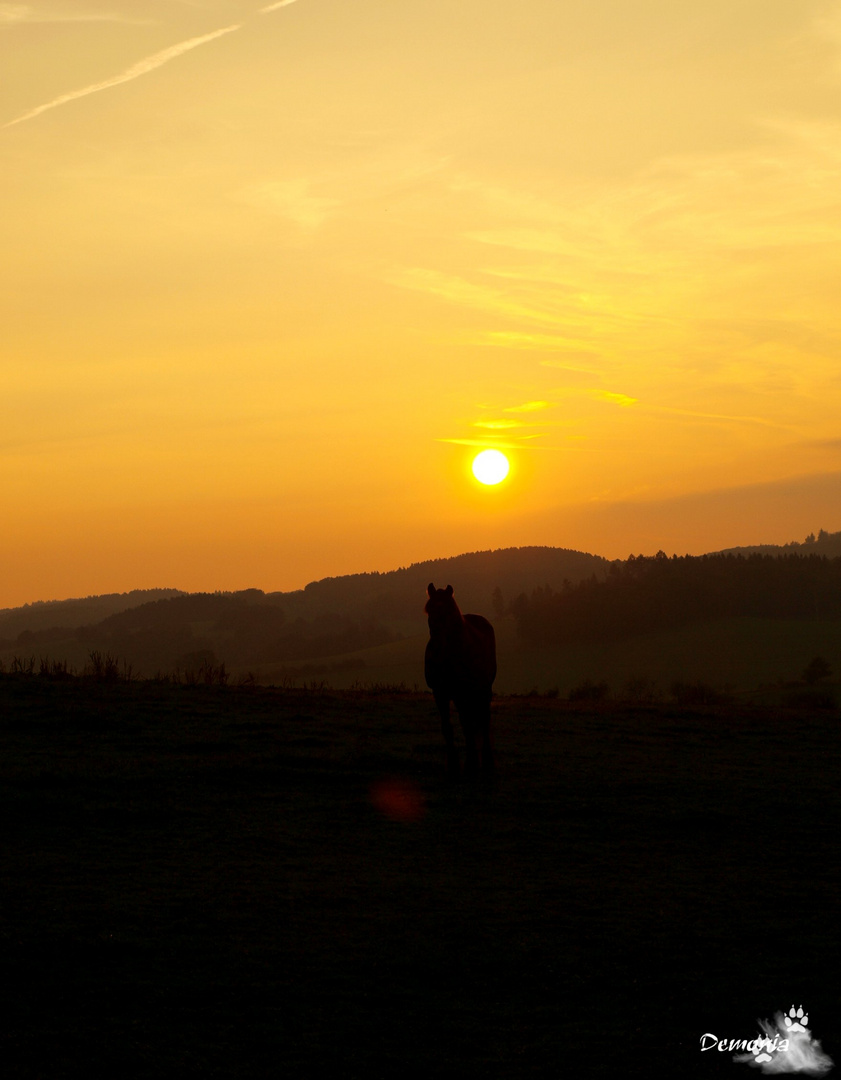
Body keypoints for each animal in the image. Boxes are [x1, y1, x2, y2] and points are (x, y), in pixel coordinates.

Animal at [425, 583, 496, 777]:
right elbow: (447, 727)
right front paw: (453, 764)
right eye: (428, 609)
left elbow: (467, 724)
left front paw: (470, 764)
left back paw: (487, 760)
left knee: (484, 719)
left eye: (449, 611)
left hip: (484, 689)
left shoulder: (461, 693)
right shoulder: (440, 693)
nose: (437, 649)